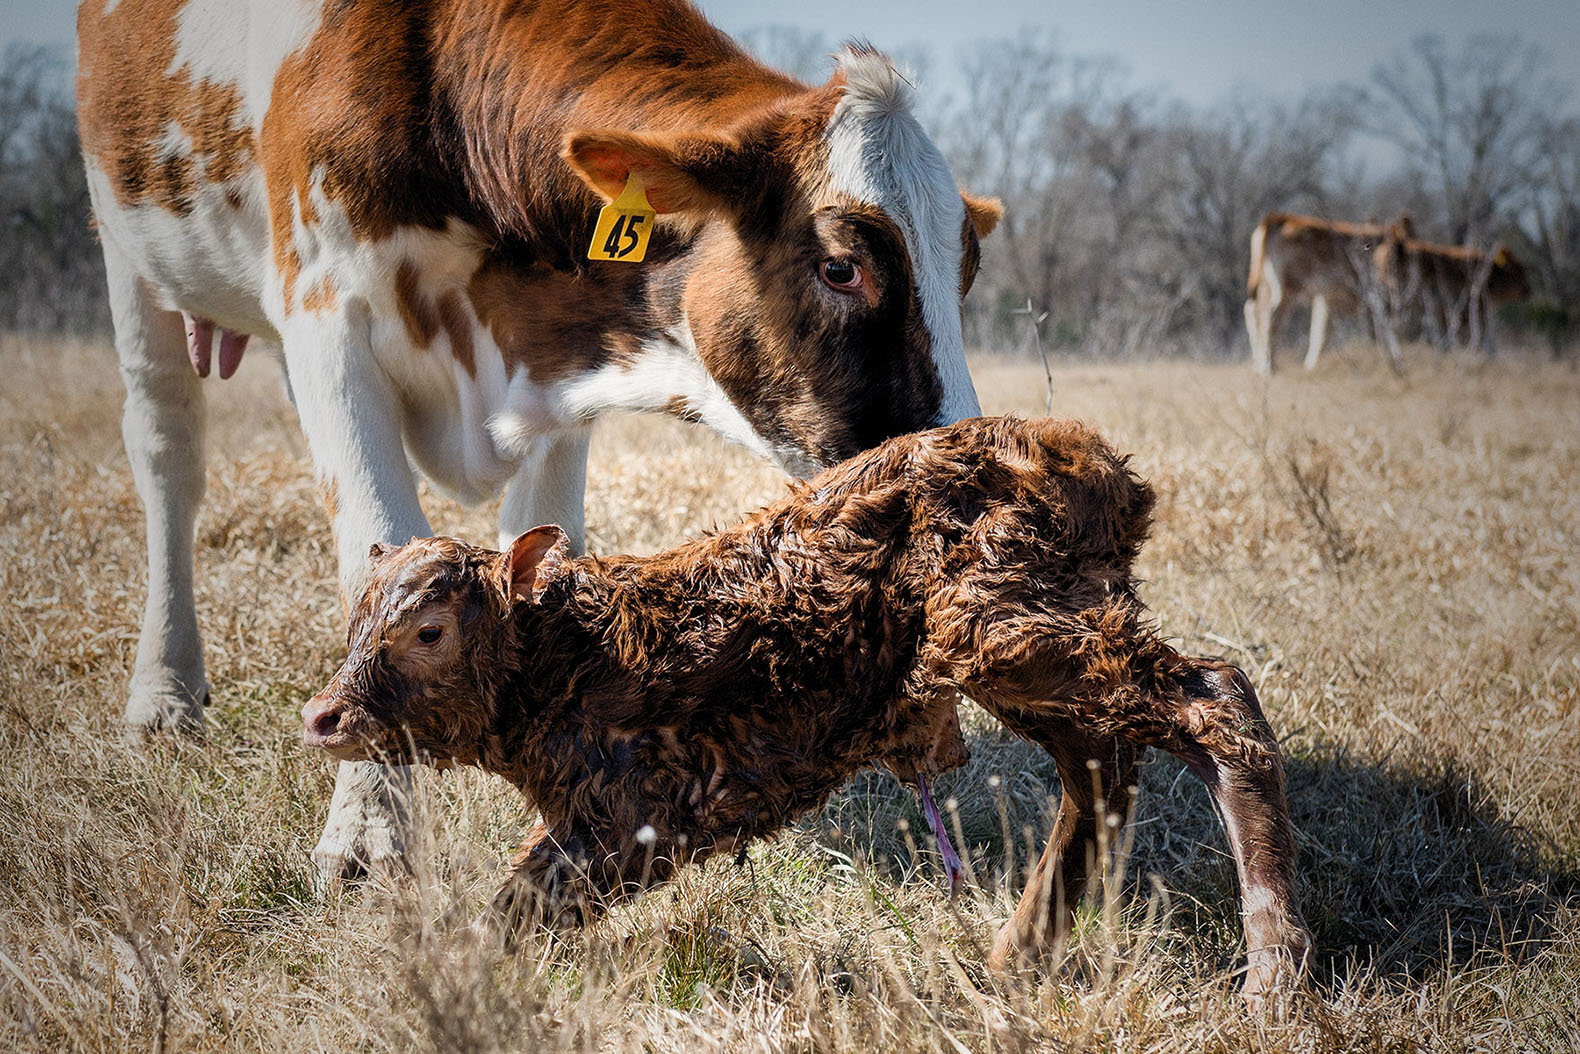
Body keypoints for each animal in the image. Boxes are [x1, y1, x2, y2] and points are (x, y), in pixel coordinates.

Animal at [77, 0, 998, 884]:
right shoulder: (325, 318)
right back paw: (163, 696)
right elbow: (375, 548)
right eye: (842, 267)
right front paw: (369, 825)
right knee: (166, 451)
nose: (956, 471)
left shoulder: (560, 367)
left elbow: (546, 552)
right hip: (129, 255)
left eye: (967, 270)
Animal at [301, 417, 1314, 998]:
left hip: (1011, 621)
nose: (324, 717)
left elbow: (516, 903)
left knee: (1218, 702)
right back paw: (1016, 957)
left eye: (429, 630)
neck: (570, 657)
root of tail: (1098, 464)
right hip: (1021, 640)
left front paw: (450, 982)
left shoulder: (639, 816)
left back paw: (1274, 979)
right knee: (1102, 766)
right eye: (357, 614)